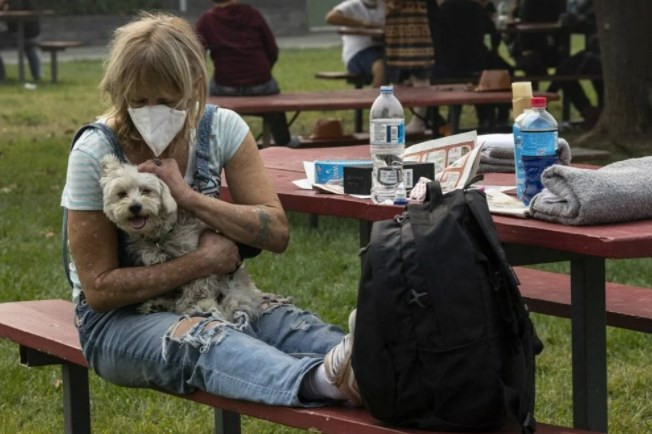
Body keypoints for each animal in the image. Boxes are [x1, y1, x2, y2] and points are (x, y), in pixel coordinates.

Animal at [98, 155, 264, 322]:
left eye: (146, 190)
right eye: (122, 194)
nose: (135, 207)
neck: (160, 236)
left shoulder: (204, 265)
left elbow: (194, 290)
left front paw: (190, 306)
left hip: (234, 288)